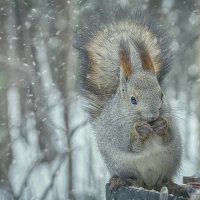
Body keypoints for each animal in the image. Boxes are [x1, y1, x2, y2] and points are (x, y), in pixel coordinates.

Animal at [74, 7, 184, 195]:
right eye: (133, 100)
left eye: (161, 95)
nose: (152, 116)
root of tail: (149, 184)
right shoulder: (116, 130)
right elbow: (128, 144)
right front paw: (139, 130)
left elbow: (170, 137)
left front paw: (162, 126)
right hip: (123, 166)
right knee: (135, 179)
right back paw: (122, 180)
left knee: (163, 181)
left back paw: (171, 185)